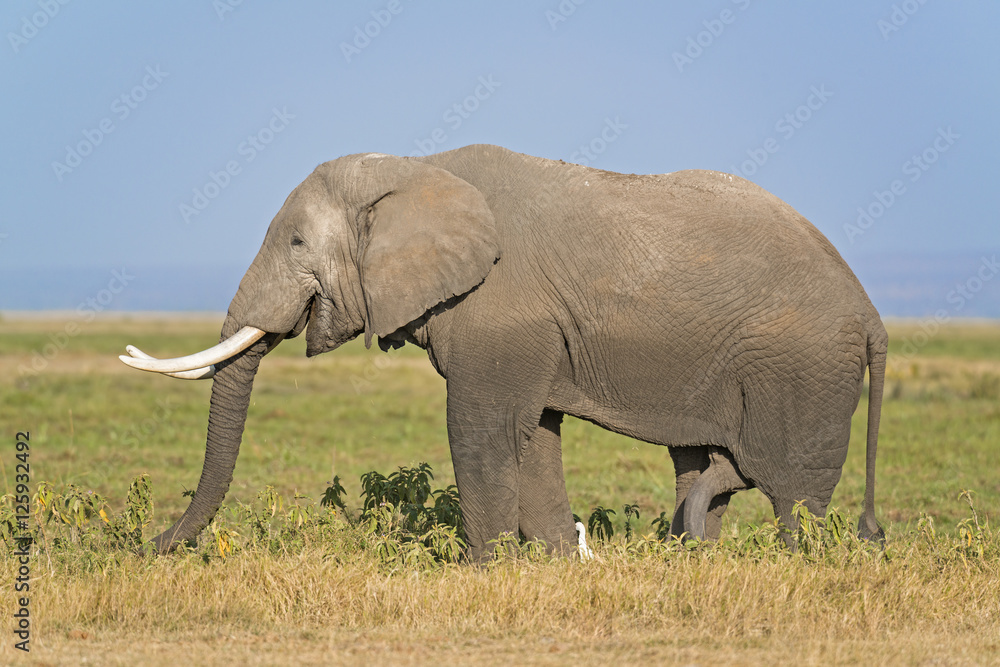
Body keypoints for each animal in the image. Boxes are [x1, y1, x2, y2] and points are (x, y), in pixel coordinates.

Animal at [120, 144, 886, 559]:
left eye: (298, 242)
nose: (144, 548)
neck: (415, 168)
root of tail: (873, 313)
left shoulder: (499, 307)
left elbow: (481, 428)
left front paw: (478, 572)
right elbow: (536, 435)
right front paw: (558, 563)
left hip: (802, 370)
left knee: (789, 489)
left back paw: (789, 561)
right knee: (700, 466)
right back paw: (688, 554)